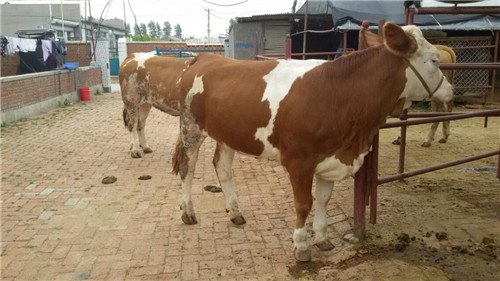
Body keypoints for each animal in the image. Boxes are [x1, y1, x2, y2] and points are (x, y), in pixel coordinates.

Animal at [171, 23, 454, 262]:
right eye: (434, 60)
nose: (451, 90)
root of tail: (206, 57)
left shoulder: (330, 156)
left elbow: (324, 199)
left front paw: (323, 237)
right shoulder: (299, 162)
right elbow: (304, 204)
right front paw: (301, 245)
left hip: (227, 133)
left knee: (222, 168)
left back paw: (236, 212)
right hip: (191, 128)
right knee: (188, 168)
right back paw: (188, 212)